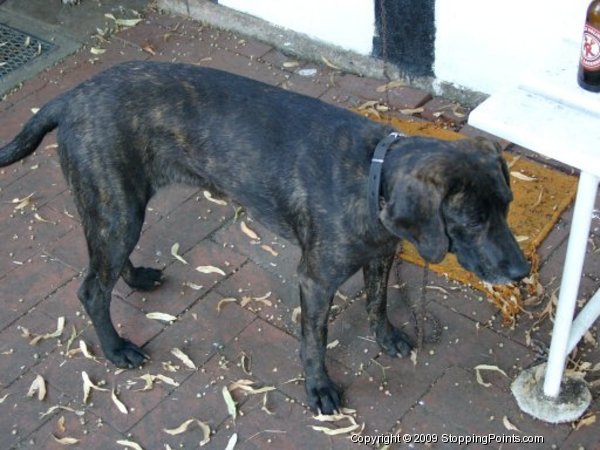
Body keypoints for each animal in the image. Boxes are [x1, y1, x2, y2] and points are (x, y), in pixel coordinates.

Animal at [0, 61, 528, 414]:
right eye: (473, 219)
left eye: (507, 206)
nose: (521, 271)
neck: (371, 176)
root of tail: (71, 96)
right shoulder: (315, 281)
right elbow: (315, 341)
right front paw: (319, 388)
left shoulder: (381, 256)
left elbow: (377, 302)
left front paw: (387, 337)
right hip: (117, 208)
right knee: (92, 288)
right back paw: (116, 349)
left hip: (119, 208)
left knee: (107, 267)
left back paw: (135, 279)